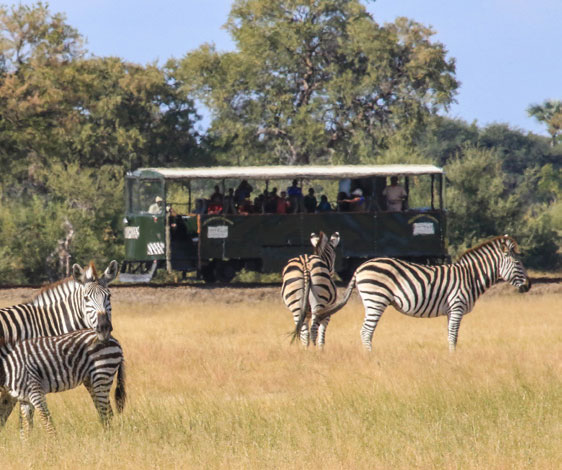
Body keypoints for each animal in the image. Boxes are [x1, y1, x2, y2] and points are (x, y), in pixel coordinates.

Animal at [310, 237, 528, 350]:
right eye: (518, 263)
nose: (528, 286)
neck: (470, 277)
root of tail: (360, 268)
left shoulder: (451, 311)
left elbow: (450, 335)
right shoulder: (457, 306)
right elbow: (453, 336)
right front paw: (454, 358)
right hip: (376, 300)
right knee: (366, 332)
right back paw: (370, 358)